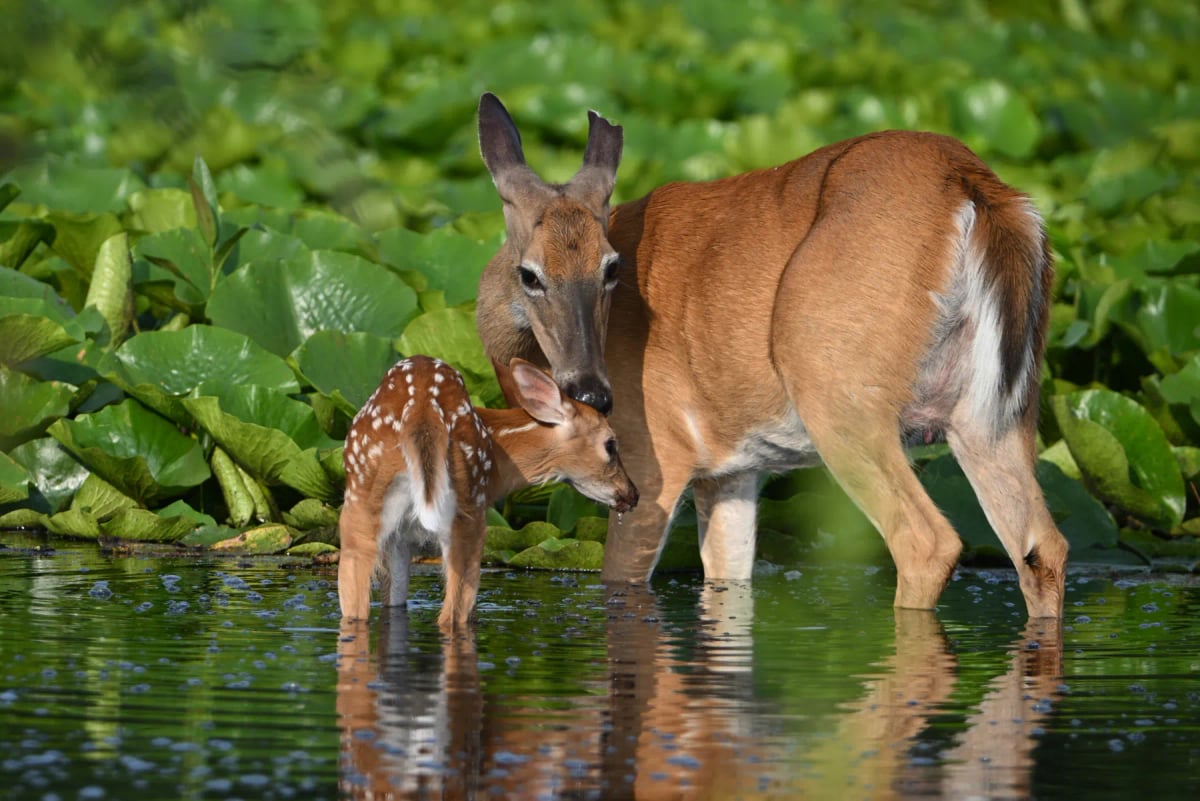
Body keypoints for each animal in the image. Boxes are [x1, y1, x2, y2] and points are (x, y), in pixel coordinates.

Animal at [337, 355, 638, 628]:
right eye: (611, 444)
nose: (633, 493)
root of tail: (421, 409)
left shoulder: (401, 538)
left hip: (361, 505)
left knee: (354, 608)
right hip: (469, 509)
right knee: (453, 615)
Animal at [474, 92, 1069, 619]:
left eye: (612, 267)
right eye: (531, 274)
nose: (592, 391)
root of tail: (976, 187)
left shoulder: (651, 455)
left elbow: (622, 583)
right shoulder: (731, 473)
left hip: (837, 389)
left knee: (927, 541)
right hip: (997, 414)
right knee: (1043, 546)